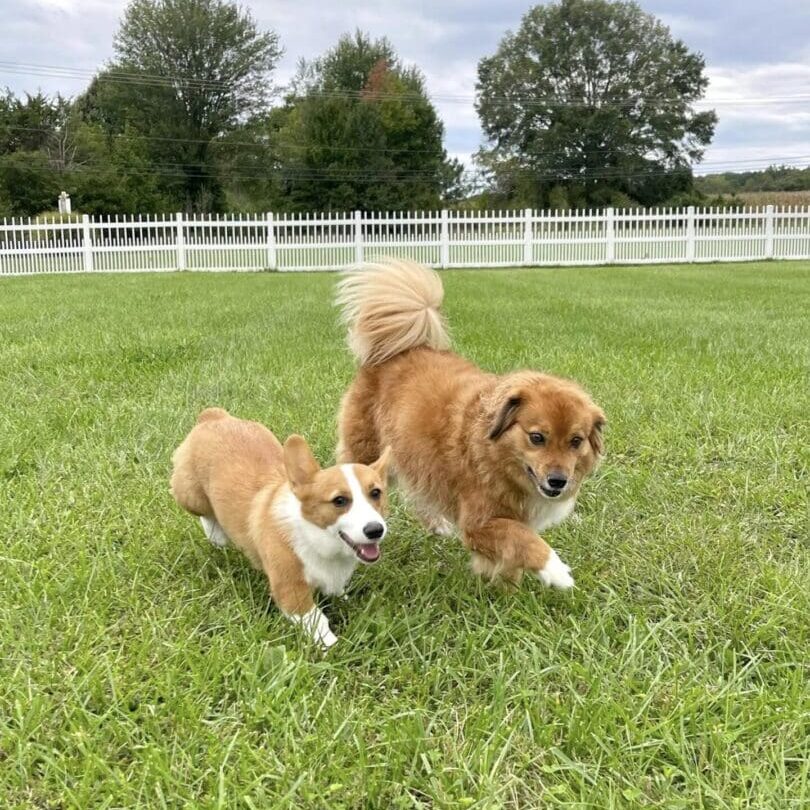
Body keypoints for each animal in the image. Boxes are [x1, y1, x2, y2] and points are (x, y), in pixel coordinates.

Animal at [169, 408, 390, 648]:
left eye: (376, 493)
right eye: (339, 501)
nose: (376, 530)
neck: (314, 535)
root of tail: (213, 416)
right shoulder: (291, 591)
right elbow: (317, 621)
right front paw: (332, 647)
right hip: (190, 496)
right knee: (202, 512)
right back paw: (216, 534)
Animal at [332, 258, 604, 588]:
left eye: (576, 441)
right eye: (537, 437)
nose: (558, 481)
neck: (495, 454)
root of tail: (396, 350)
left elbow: (513, 550)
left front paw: (508, 586)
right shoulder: (479, 523)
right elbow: (523, 540)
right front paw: (555, 571)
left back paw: (437, 526)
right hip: (369, 454)